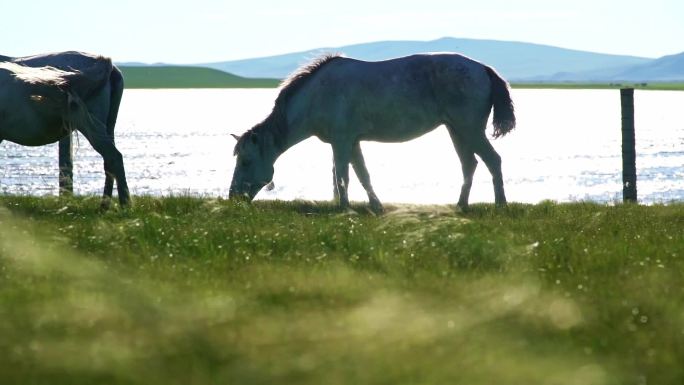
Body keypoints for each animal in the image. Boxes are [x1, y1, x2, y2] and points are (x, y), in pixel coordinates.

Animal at [0, 51, 128, 207]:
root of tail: (108, 66)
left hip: (92, 127)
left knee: (114, 157)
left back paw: (125, 205)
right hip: (108, 126)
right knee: (109, 163)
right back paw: (105, 206)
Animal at [230, 52, 512, 212]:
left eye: (245, 161)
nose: (233, 197)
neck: (317, 95)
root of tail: (483, 68)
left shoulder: (342, 142)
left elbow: (342, 176)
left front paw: (344, 208)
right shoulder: (352, 142)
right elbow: (361, 175)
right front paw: (375, 206)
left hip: (470, 130)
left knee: (493, 161)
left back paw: (500, 205)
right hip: (456, 130)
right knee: (469, 165)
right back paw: (461, 206)